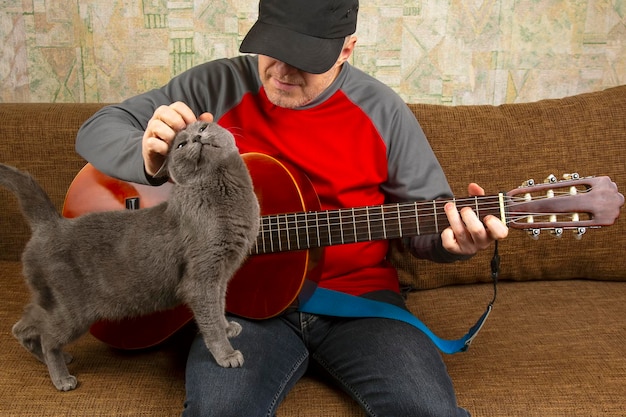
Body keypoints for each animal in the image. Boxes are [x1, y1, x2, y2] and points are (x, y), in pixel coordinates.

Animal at [0, 120, 258, 390]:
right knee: (49, 337)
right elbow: (210, 319)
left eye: (203, 127)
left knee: (27, 323)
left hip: (52, 301)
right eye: (181, 144)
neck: (229, 196)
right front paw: (226, 354)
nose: (197, 138)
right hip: (73, 308)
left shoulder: (220, 277)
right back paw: (62, 378)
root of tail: (52, 224)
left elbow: (219, 306)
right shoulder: (201, 279)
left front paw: (228, 327)